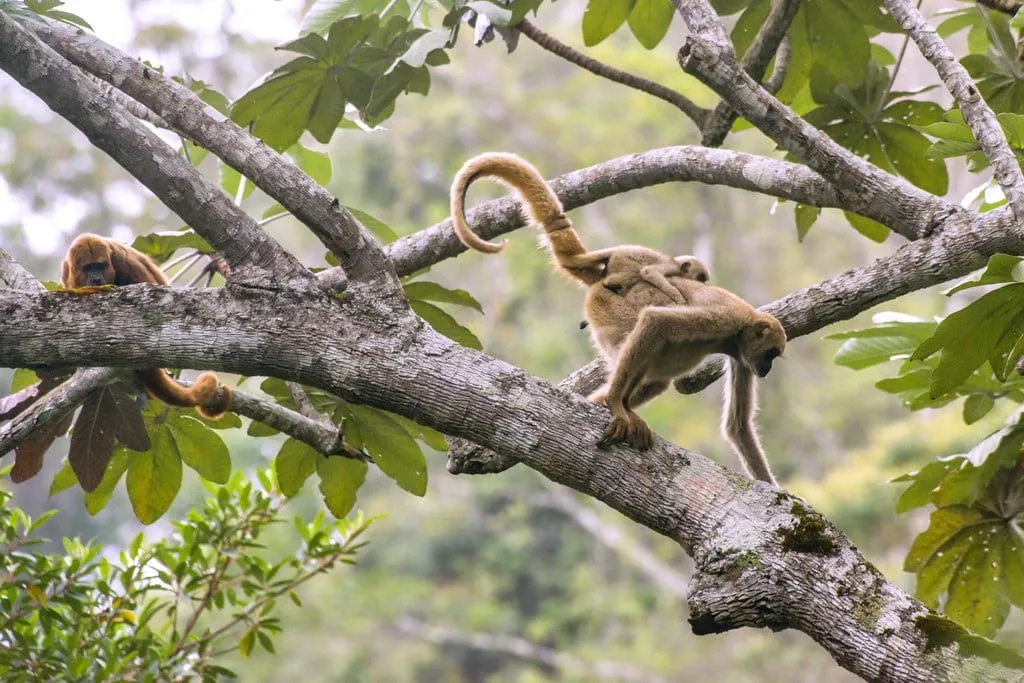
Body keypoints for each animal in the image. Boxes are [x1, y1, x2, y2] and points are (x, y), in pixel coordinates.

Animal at [448, 152, 782, 483]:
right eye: (771, 353)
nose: (767, 369)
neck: (739, 330)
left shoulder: (741, 355)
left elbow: (737, 426)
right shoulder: (727, 319)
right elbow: (656, 320)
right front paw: (615, 404)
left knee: (656, 378)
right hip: (609, 309)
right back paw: (617, 404)